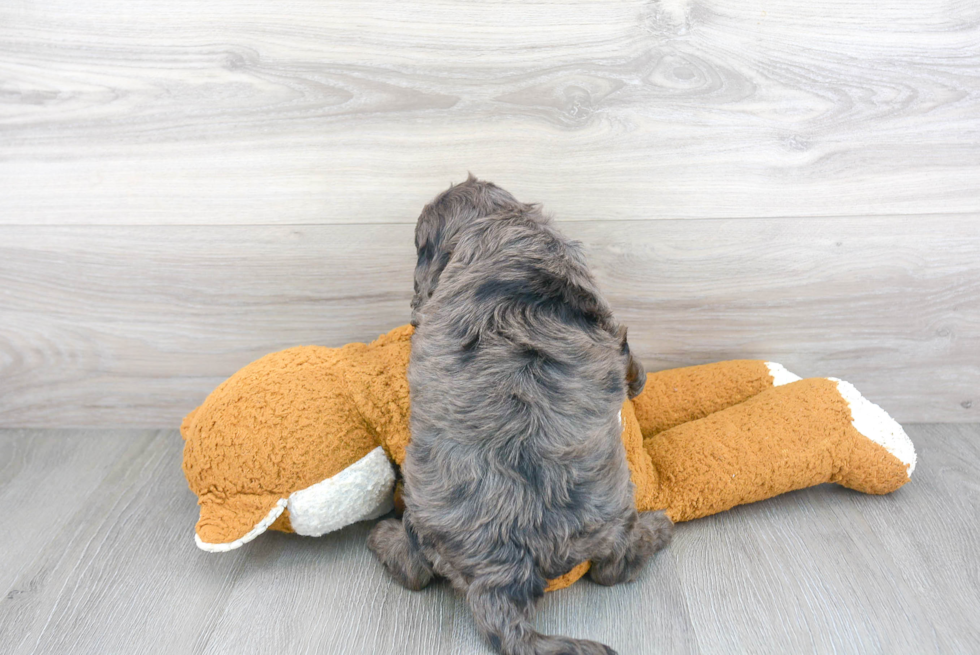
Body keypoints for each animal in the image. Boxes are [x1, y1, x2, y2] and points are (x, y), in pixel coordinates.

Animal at [368, 176, 672, 655]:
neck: (498, 226)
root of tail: (502, 574)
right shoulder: (605, 317)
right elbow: (627, 353)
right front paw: (638, 382)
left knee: (416, 571)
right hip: (613, 511)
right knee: (613, 568)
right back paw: (658, 528)